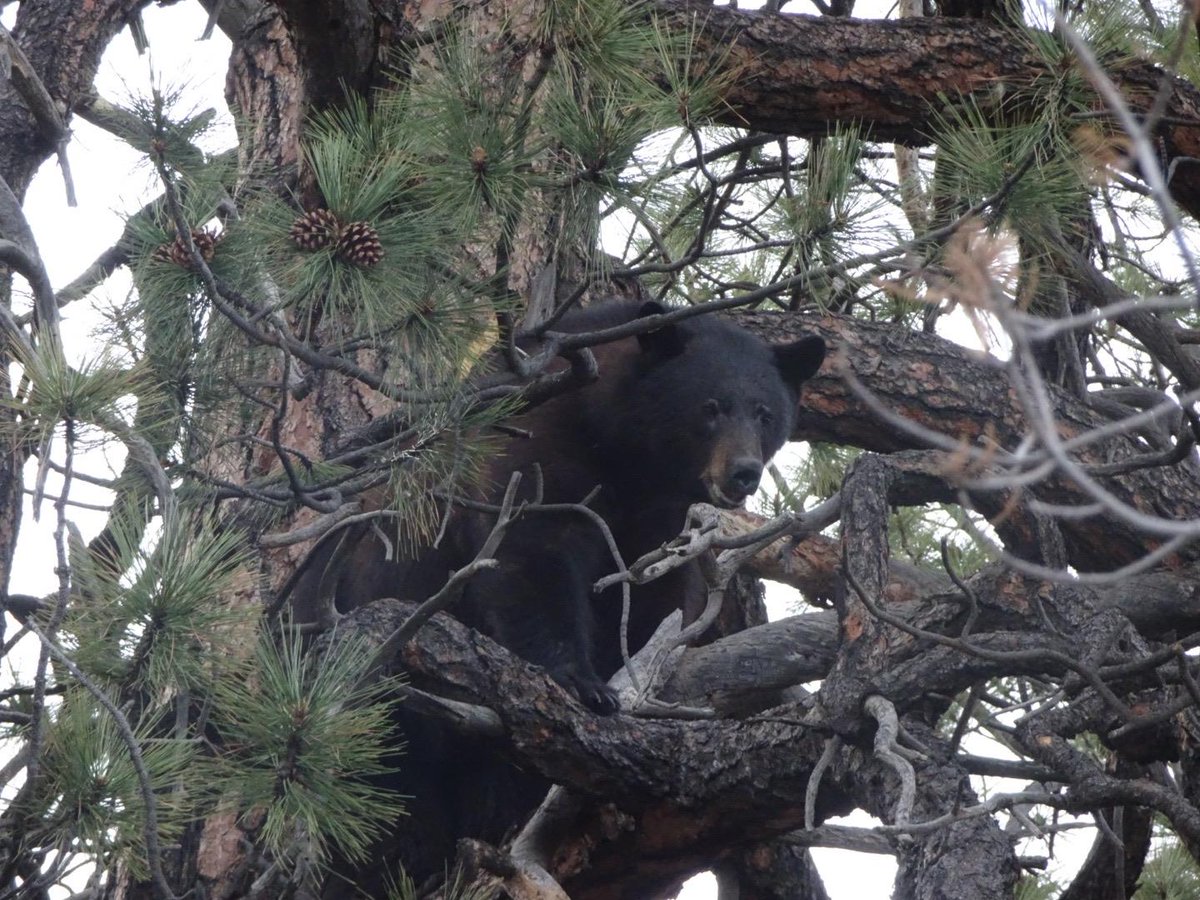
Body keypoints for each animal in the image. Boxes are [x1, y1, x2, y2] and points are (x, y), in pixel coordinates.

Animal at [284, 299, 826, 890]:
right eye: (710, 406)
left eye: (765, 413)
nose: (743, 472)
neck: (621, 447)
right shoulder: (538, 459)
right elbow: (532, 561)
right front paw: (583, 684)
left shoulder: (655, 526)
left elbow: (651, 603)